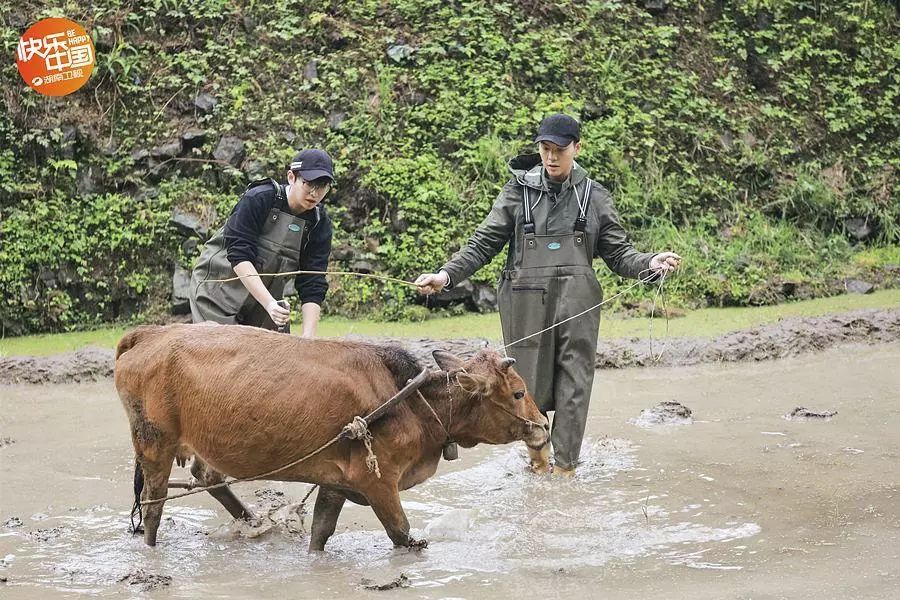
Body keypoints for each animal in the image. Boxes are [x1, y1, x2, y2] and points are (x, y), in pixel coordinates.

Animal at [112, 326, 548, 552]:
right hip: (155, 445)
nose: (543, 425)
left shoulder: (336, 481)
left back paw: (251, 519)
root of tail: (149, 333)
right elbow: (403, 535)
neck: (410, 400)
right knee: (152, 506)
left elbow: (321, 532)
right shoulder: (379, 482)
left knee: (209, 479)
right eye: (518, 393)